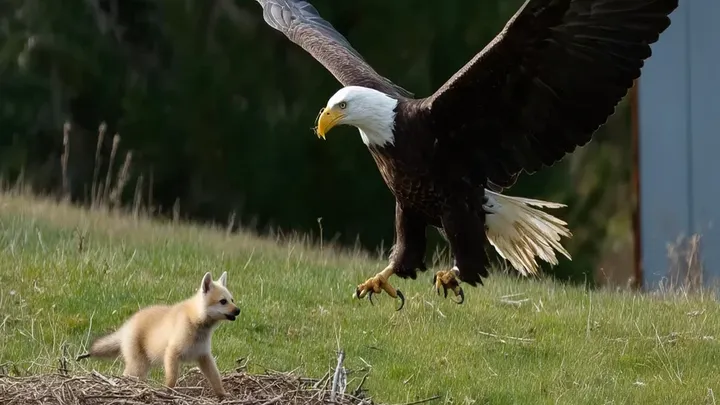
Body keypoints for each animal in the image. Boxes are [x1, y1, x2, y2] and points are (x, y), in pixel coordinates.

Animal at [77, 271, 240, 398]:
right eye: (223, 301)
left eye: (232, 299)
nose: (238, 310)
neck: (195, 322)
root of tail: (127, 325)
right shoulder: (172, 353)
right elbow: (171, 380)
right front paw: (167, 394)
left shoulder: (204, 356)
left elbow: (215, 378)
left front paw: (223, 395)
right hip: (138, 366)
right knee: (127, 376)